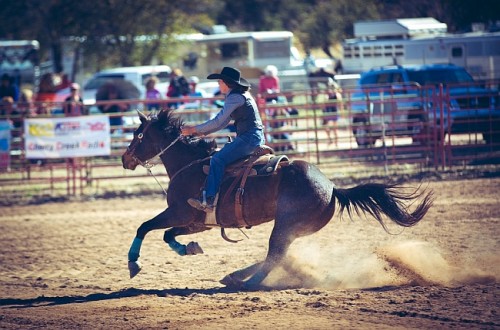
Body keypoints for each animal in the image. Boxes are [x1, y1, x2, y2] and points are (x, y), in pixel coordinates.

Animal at [122, 108, 434, 288]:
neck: (190, 164)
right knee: (279, 255)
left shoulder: (180, 212)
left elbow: (144, 227)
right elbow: (167, 235)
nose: (125, 159)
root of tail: (332, 187)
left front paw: (134, 264)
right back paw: (235, 276)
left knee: (275, 254)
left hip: (285, 223)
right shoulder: (196, 222)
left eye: (138, 135)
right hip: (293, 228)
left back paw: (246, 283)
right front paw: (190, 248)